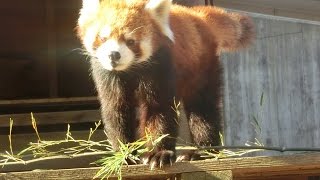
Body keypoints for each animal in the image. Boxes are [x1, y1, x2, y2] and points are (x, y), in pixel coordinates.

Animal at [76, 0, 254, 169]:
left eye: (131, 41)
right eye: (103, 38)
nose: (113, 55)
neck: (131, 69)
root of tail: (198, 16)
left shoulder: (160, 64)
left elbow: (160, 110)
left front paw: (159, 153)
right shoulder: (108, 75)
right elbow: (117, 111)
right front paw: (124, 156)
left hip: (201, 67)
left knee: (203, 110)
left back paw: (201, 153)